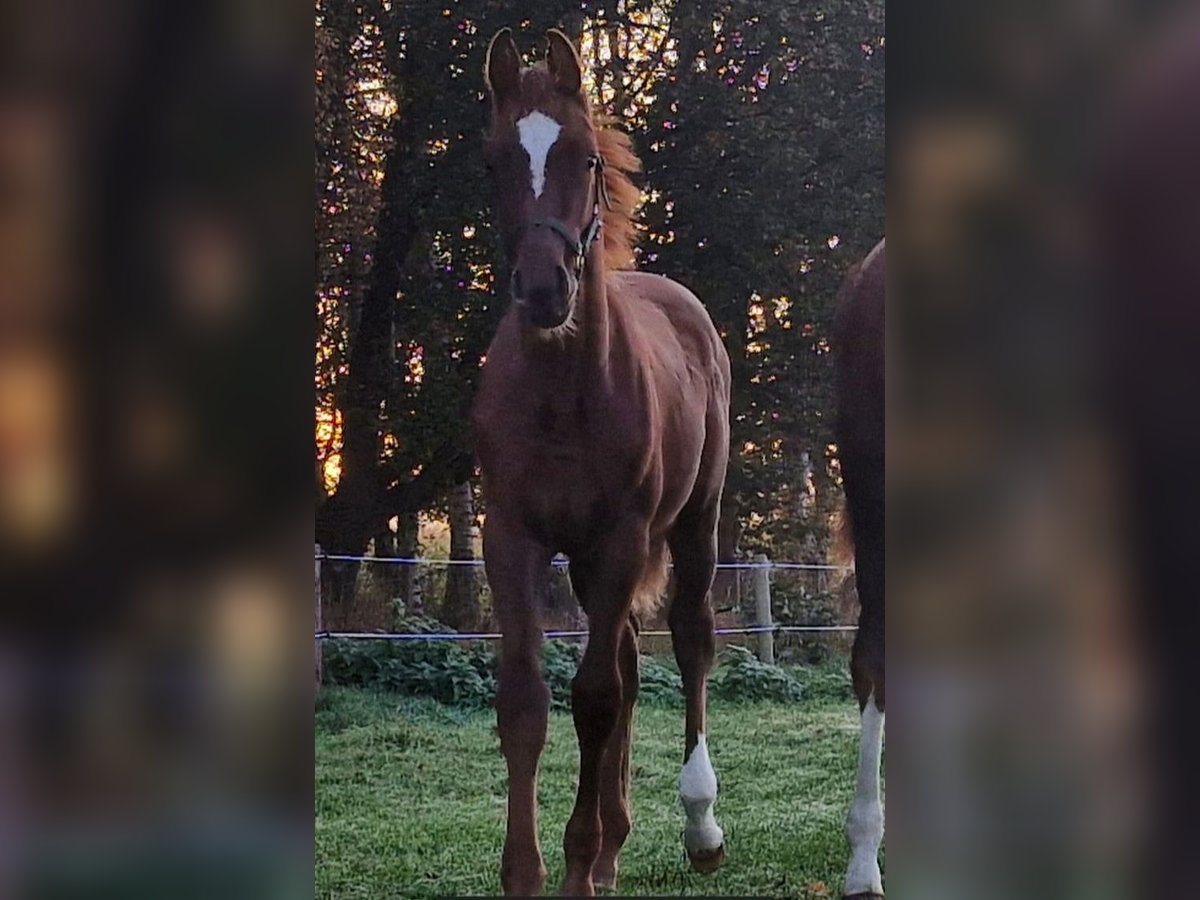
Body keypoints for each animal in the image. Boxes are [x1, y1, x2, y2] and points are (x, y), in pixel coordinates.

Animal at [468, 26, 729, 897]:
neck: (562, 395)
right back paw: (616, 843)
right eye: (493, 160)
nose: (545, 289)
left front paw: (576, 866)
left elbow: (594, 698)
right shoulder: (511, 537)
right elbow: (526, 697)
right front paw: (528, 871)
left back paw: (697, 827)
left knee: (687, 642)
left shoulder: (620, 539)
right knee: (628, 659)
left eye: (585, 158)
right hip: (590, 560)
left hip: (692, 523)